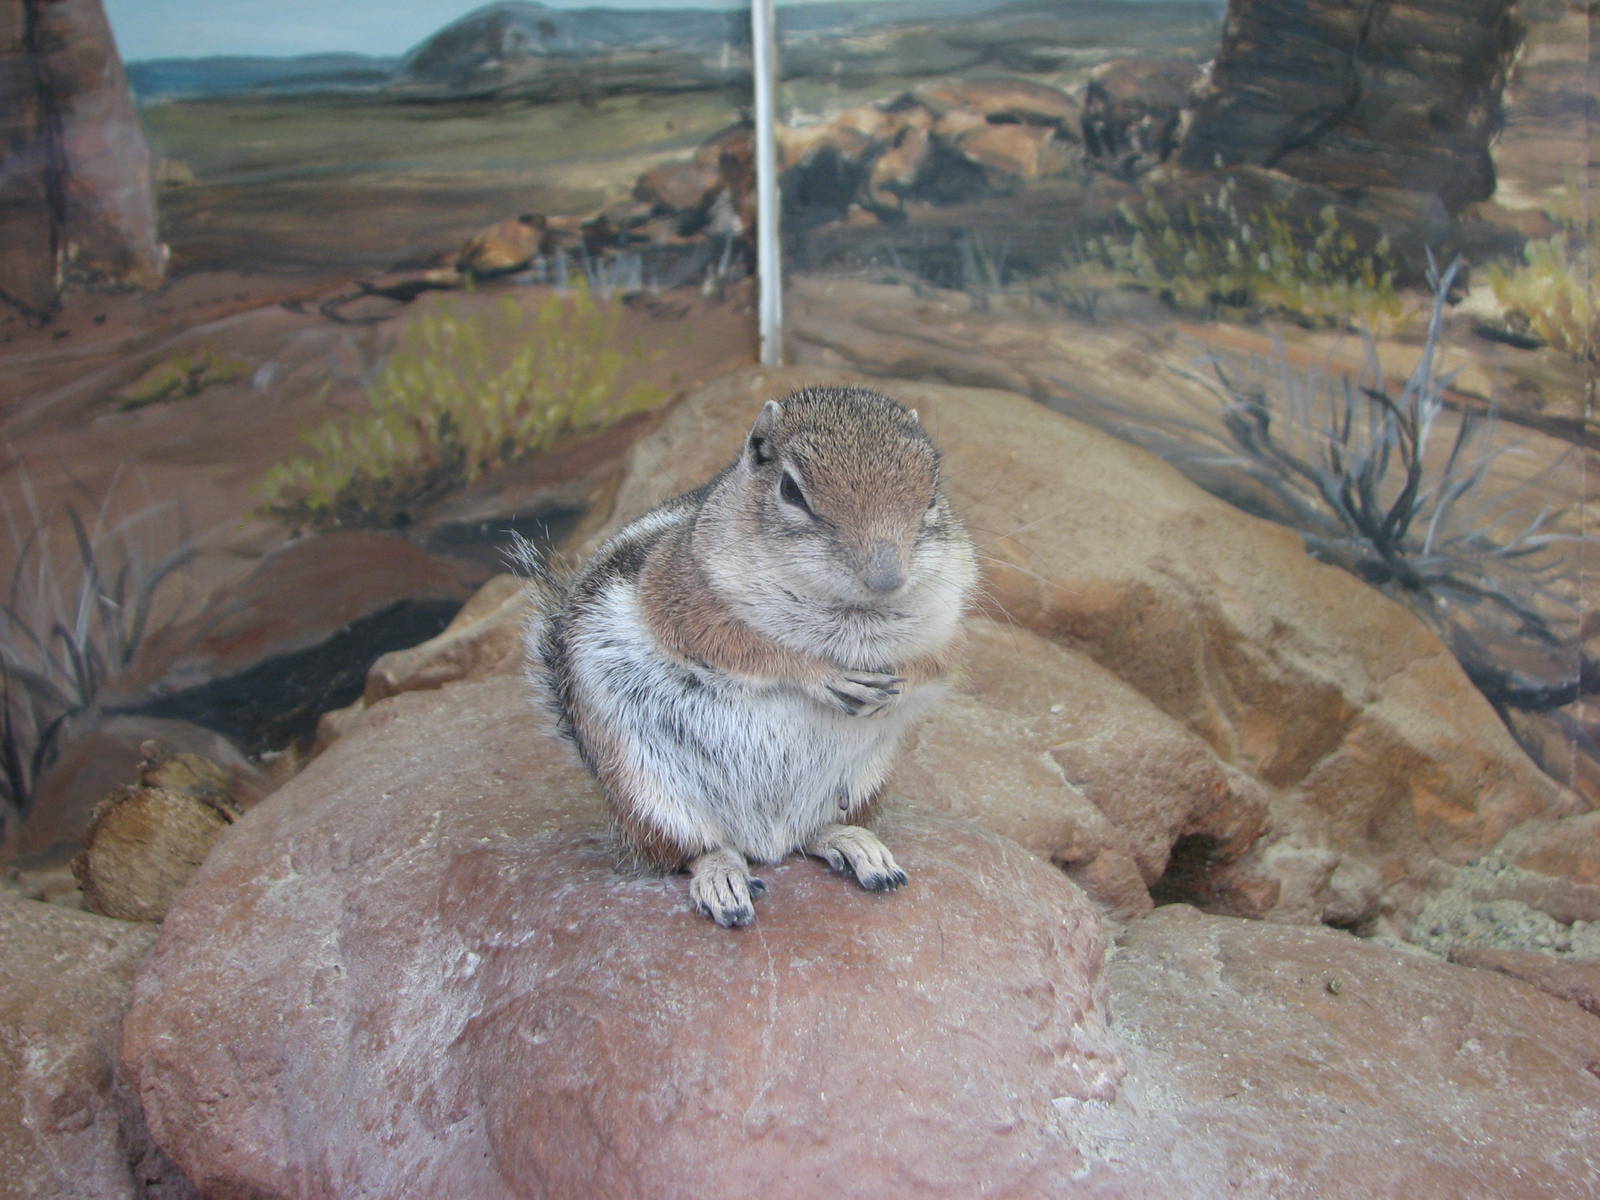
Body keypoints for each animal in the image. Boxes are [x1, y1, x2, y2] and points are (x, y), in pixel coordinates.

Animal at [522, 385, 976, 927]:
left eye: (932, 493)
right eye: (791, 490)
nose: (887, 578)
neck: (852, 617)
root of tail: (765, 840)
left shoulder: (949, 618)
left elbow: (934, 664)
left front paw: (896, 688)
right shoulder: (682, 597)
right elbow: (747, 648)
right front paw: (823, 676)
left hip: (864, 784)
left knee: (810, 834)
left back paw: (854, 845)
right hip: (646, 794)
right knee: (693, 851)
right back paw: (722, 879)